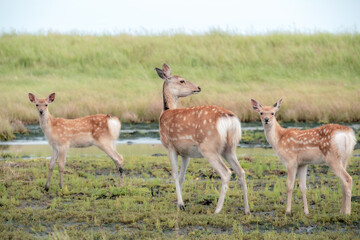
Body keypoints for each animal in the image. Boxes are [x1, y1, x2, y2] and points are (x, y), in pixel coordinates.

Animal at [155, 63, 250, 214]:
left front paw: (180, 204)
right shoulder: (185, 153)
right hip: (229, 148)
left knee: (226, 173)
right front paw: (180, 203)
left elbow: (174, 174)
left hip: (208, 147)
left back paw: (217, 210)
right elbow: (181, 177)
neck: (164, 113)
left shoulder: (170, 146)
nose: (198, 87)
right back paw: (247, 209)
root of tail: (230, 120)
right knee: (241, 171)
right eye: (182, 80)